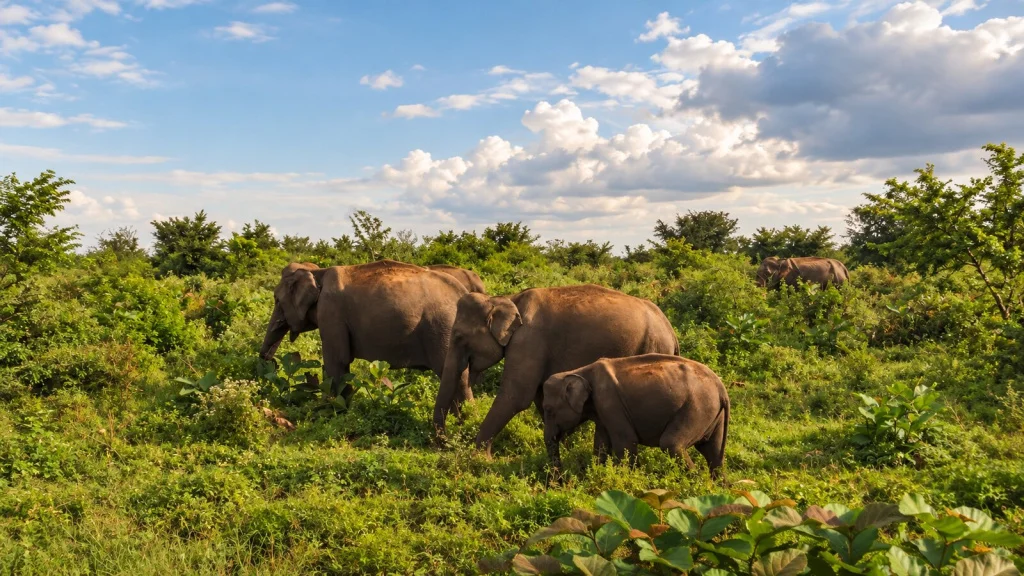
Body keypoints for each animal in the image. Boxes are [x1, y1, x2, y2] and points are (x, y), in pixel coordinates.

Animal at [259, 259, 471, 404]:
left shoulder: (331, 313)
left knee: (454, 375)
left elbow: (337, 360)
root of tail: (463, 293)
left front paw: (334, 409)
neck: (317, 271)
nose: (273, 363)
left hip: (442, 329)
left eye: (277, 300)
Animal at [432, 284, 679, 460]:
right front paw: (565, 443)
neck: (507, 298)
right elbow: (539, 397)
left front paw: (479, 458)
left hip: (652, 345)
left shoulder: (528, 340)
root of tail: (670, 328)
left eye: (459, 337)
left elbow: (515, 397)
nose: (443, 444)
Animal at [541, 353, 730, 479]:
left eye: (548, 410)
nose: (559, 482)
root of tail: (721, 388)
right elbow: (601, 443)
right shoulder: (602, 410)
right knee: (712, 452)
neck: (580, 371)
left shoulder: (611, 403)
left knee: (672, 444)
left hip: (697, 408)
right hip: (712, 413)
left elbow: (625, 442)